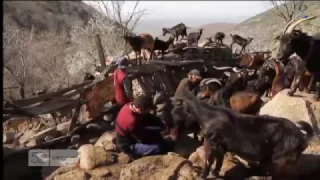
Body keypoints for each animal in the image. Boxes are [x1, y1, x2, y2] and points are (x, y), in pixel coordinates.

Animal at [174, 88, 314, 180]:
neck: (207, 116)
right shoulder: (221, 147)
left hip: (281, 160)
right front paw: (215, 174)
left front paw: (203, 175)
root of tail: (302, 138)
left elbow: (208, 161)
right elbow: (218, 163)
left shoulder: (212, 143)